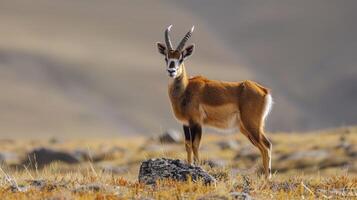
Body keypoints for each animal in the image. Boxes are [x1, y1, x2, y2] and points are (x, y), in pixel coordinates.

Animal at [155, 25, 272, 178]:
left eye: (181, 58)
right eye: (166, 57)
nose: (171, 70)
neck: (186, 89)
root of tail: (263, 90)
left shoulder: (196, 123)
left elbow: (195, 145)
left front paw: (197, 168)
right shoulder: (185, 124)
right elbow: (187, 145)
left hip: (252, 126)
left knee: (267, 145)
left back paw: (267, 178)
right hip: (246, 129)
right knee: (263, 147)